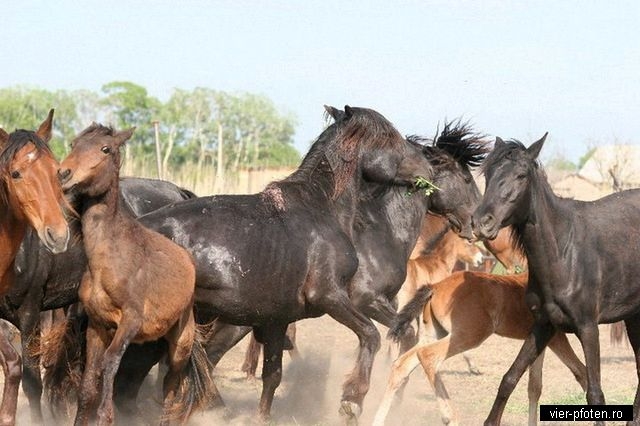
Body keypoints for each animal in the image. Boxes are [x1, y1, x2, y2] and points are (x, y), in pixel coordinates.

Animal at [372, 272, 588, 424]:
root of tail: (436, 286)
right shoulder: (556, 337)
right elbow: (581, 372)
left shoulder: (541, 341)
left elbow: (534, 387)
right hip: (468, 335)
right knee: (428, 356)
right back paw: (450, 417)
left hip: (432, 334)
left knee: (402, 364)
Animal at [470, 136, 640, 426]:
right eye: (489, 175)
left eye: (521, 175)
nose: (482, 222)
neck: (564, 252)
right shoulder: (543, 324)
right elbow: (509, 378)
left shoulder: (588, 328)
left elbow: (595, 393)